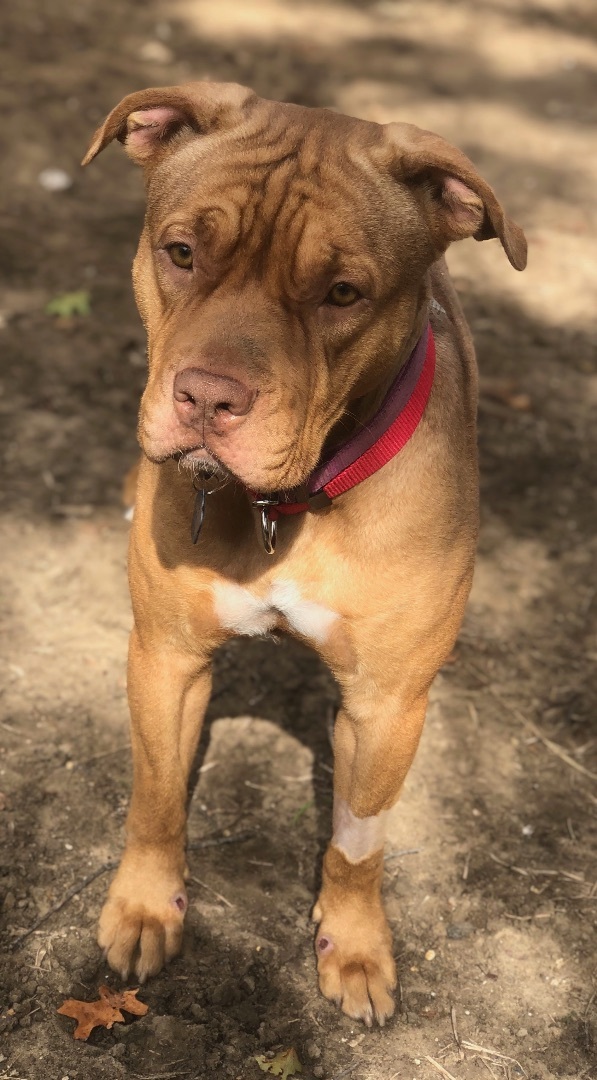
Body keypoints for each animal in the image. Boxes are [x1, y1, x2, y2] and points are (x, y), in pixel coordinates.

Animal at [83, 79, 526, 1023]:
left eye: (343, 292)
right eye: (181, 252)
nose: (207, 397)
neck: (288, 505)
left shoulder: (386, 705)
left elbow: (357, 843)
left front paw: (353, 947)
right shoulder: (166, 657)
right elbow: (156, 798)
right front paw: (145, 907)